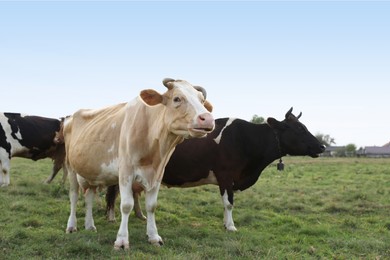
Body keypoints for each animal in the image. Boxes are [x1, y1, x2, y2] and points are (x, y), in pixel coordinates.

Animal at [62, 77, 215, 250]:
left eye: (202, 100)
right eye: (177, 98)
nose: (208, 118)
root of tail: (70, 117)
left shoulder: (158, 173)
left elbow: (151, 206)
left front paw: (154, 236)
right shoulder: (125, 172)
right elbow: (126, 205)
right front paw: (121, 240)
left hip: (92, 172)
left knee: (89, 196)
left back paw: (89, 226)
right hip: (71, 167)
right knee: (74, 196)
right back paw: (71, 226)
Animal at [106, 107, 326, 232]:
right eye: (298, 129)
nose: (322, 146)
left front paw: (226, 224)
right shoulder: (226, 175)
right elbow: (229, 203)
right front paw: (231, 226)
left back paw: (139, 215)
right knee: (114, 192)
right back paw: (111, 217)